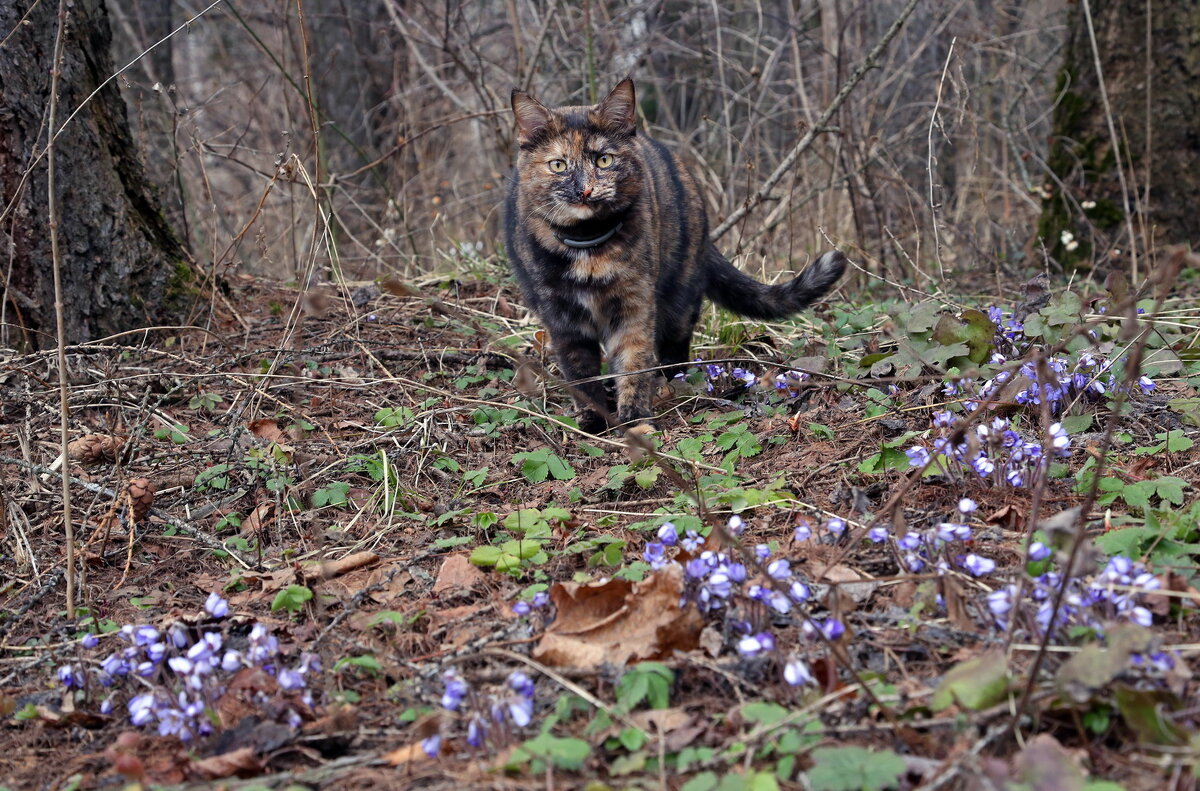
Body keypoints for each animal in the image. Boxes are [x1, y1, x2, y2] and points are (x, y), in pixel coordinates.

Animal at [504, 78, 844, 436]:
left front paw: (636, 422)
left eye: (604, 161)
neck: (589, 248)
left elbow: (634, 364)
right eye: (558, 165)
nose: (584, 190)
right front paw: (593, 421)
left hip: (679, 300)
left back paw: (670, 382)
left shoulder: (635, 306)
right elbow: (580, 374)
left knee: (673, 352)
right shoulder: (562, 319)